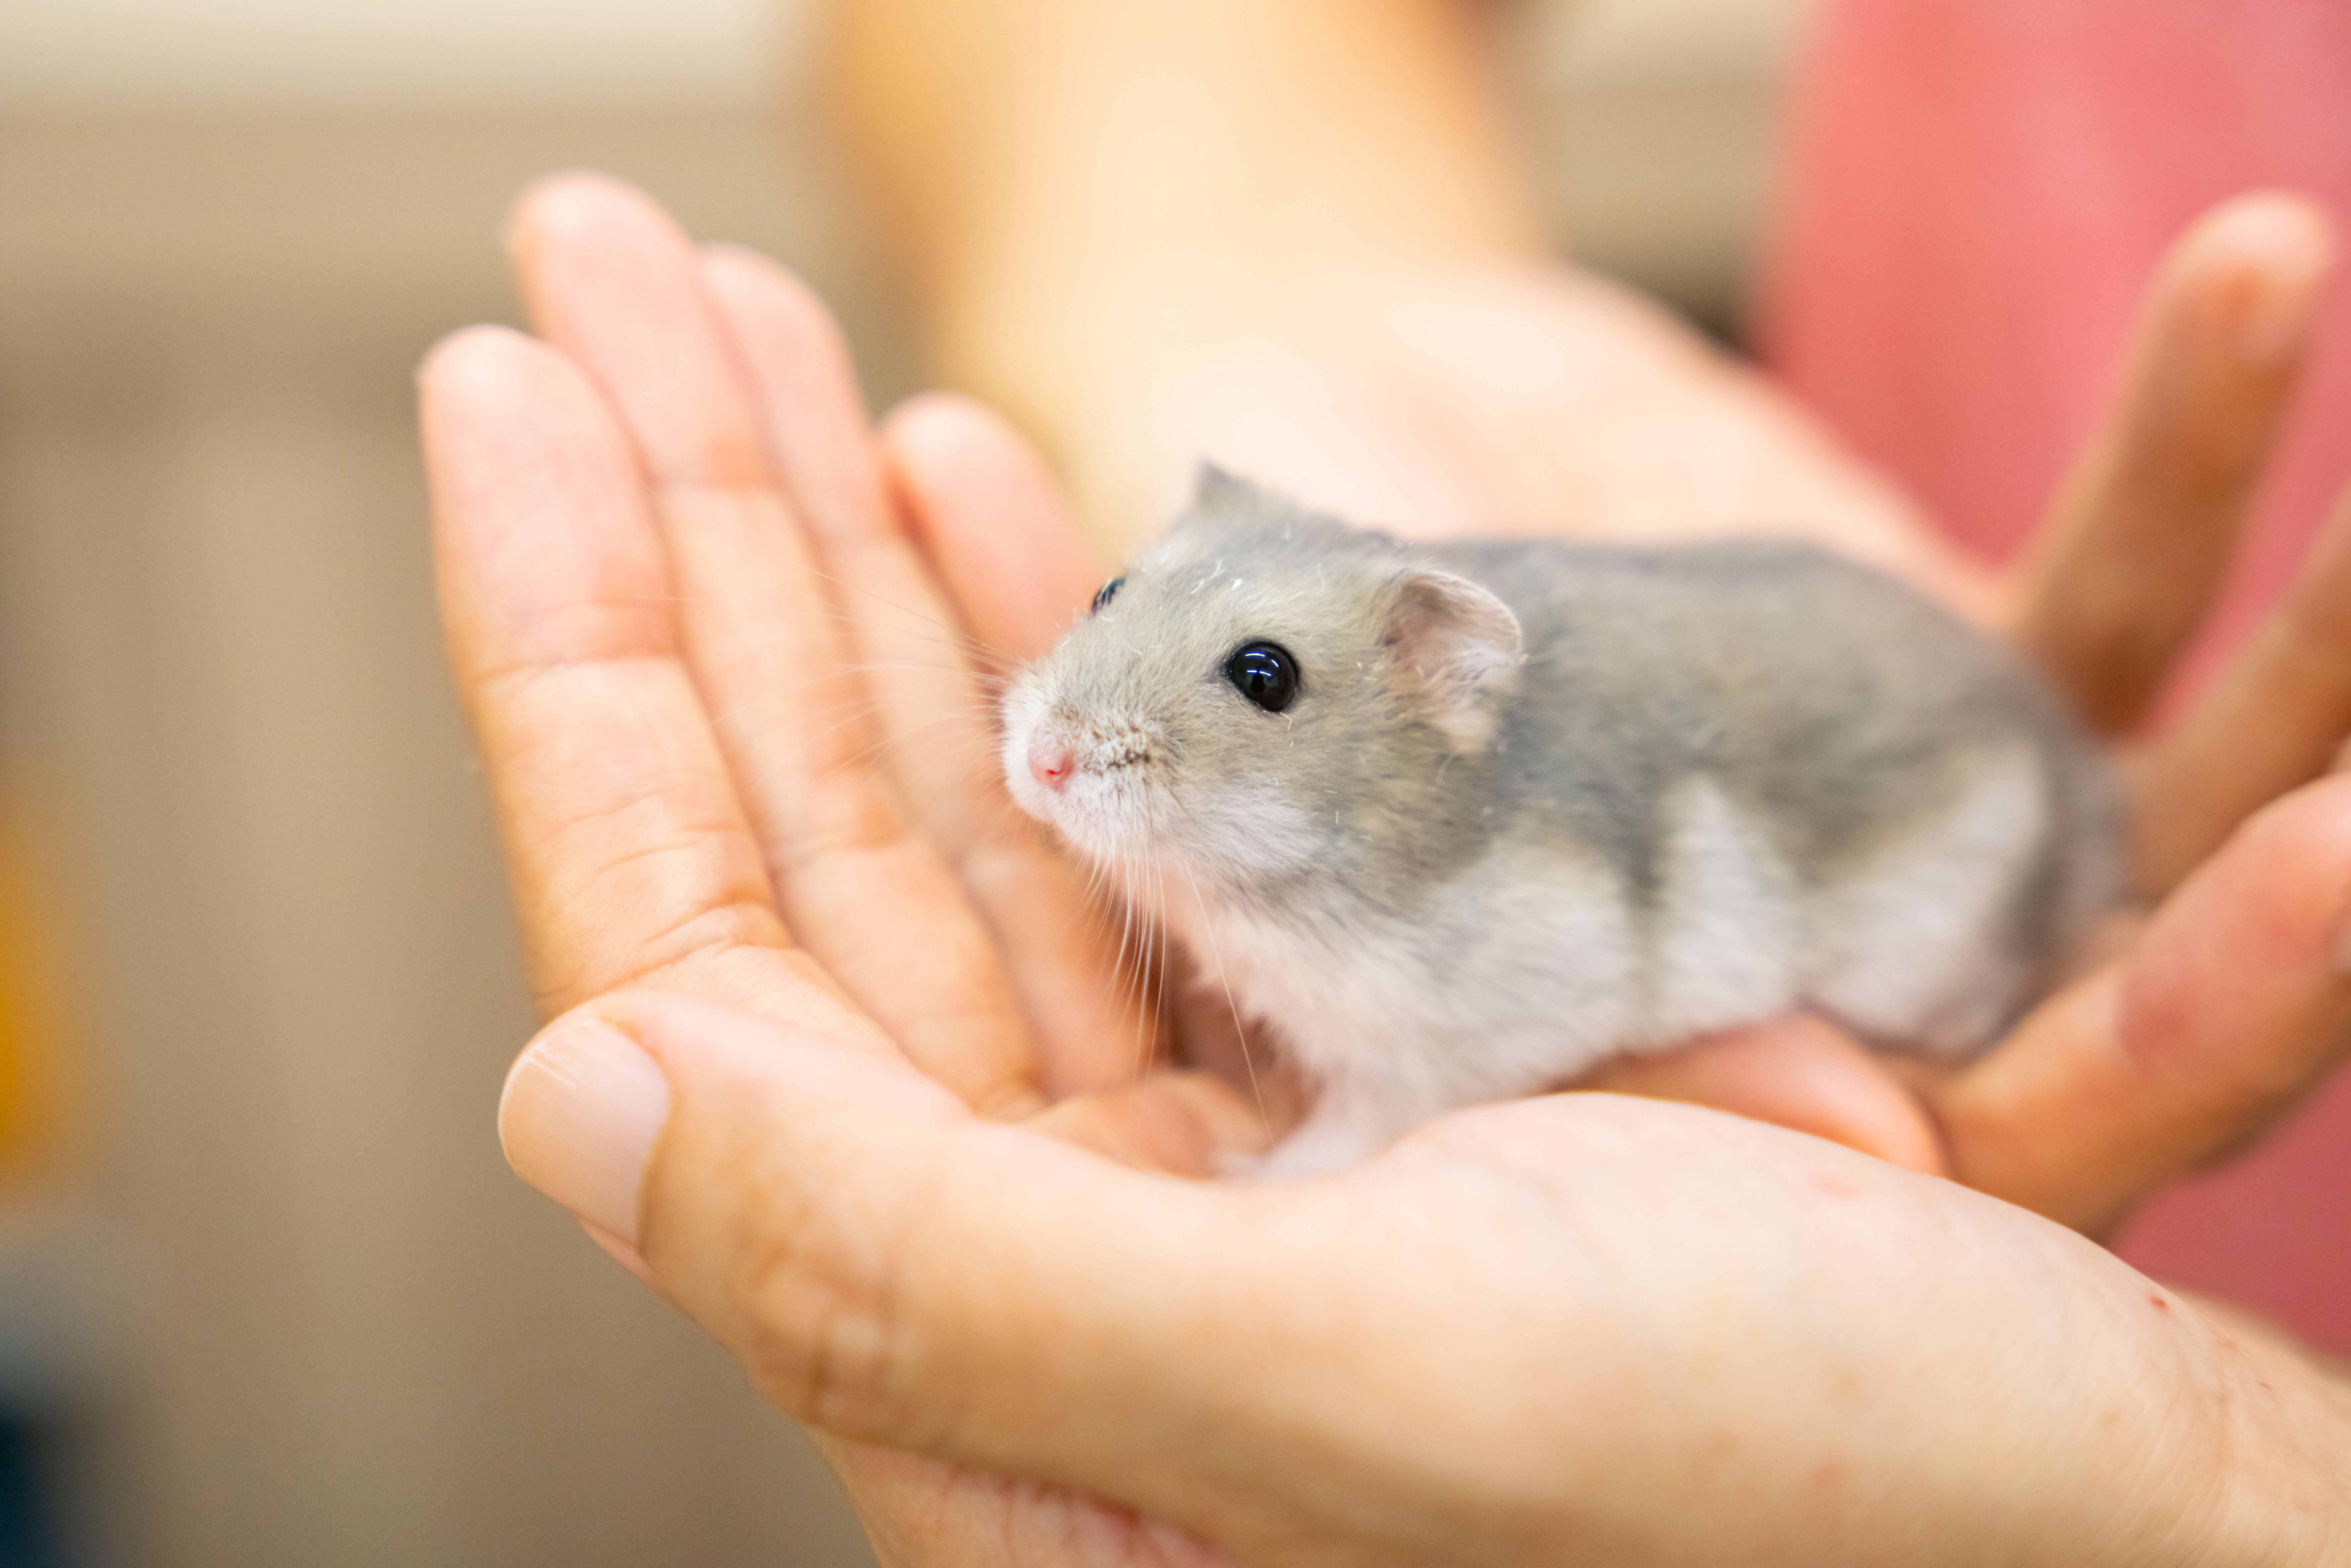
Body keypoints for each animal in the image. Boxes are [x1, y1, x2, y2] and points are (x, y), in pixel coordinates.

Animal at [1002, 469, 2123, 1177]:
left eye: (1264, 675)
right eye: (1108, 589)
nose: (1042, 760)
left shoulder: (1441, 1048)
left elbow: (1355, 1126)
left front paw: (1248, 1169)